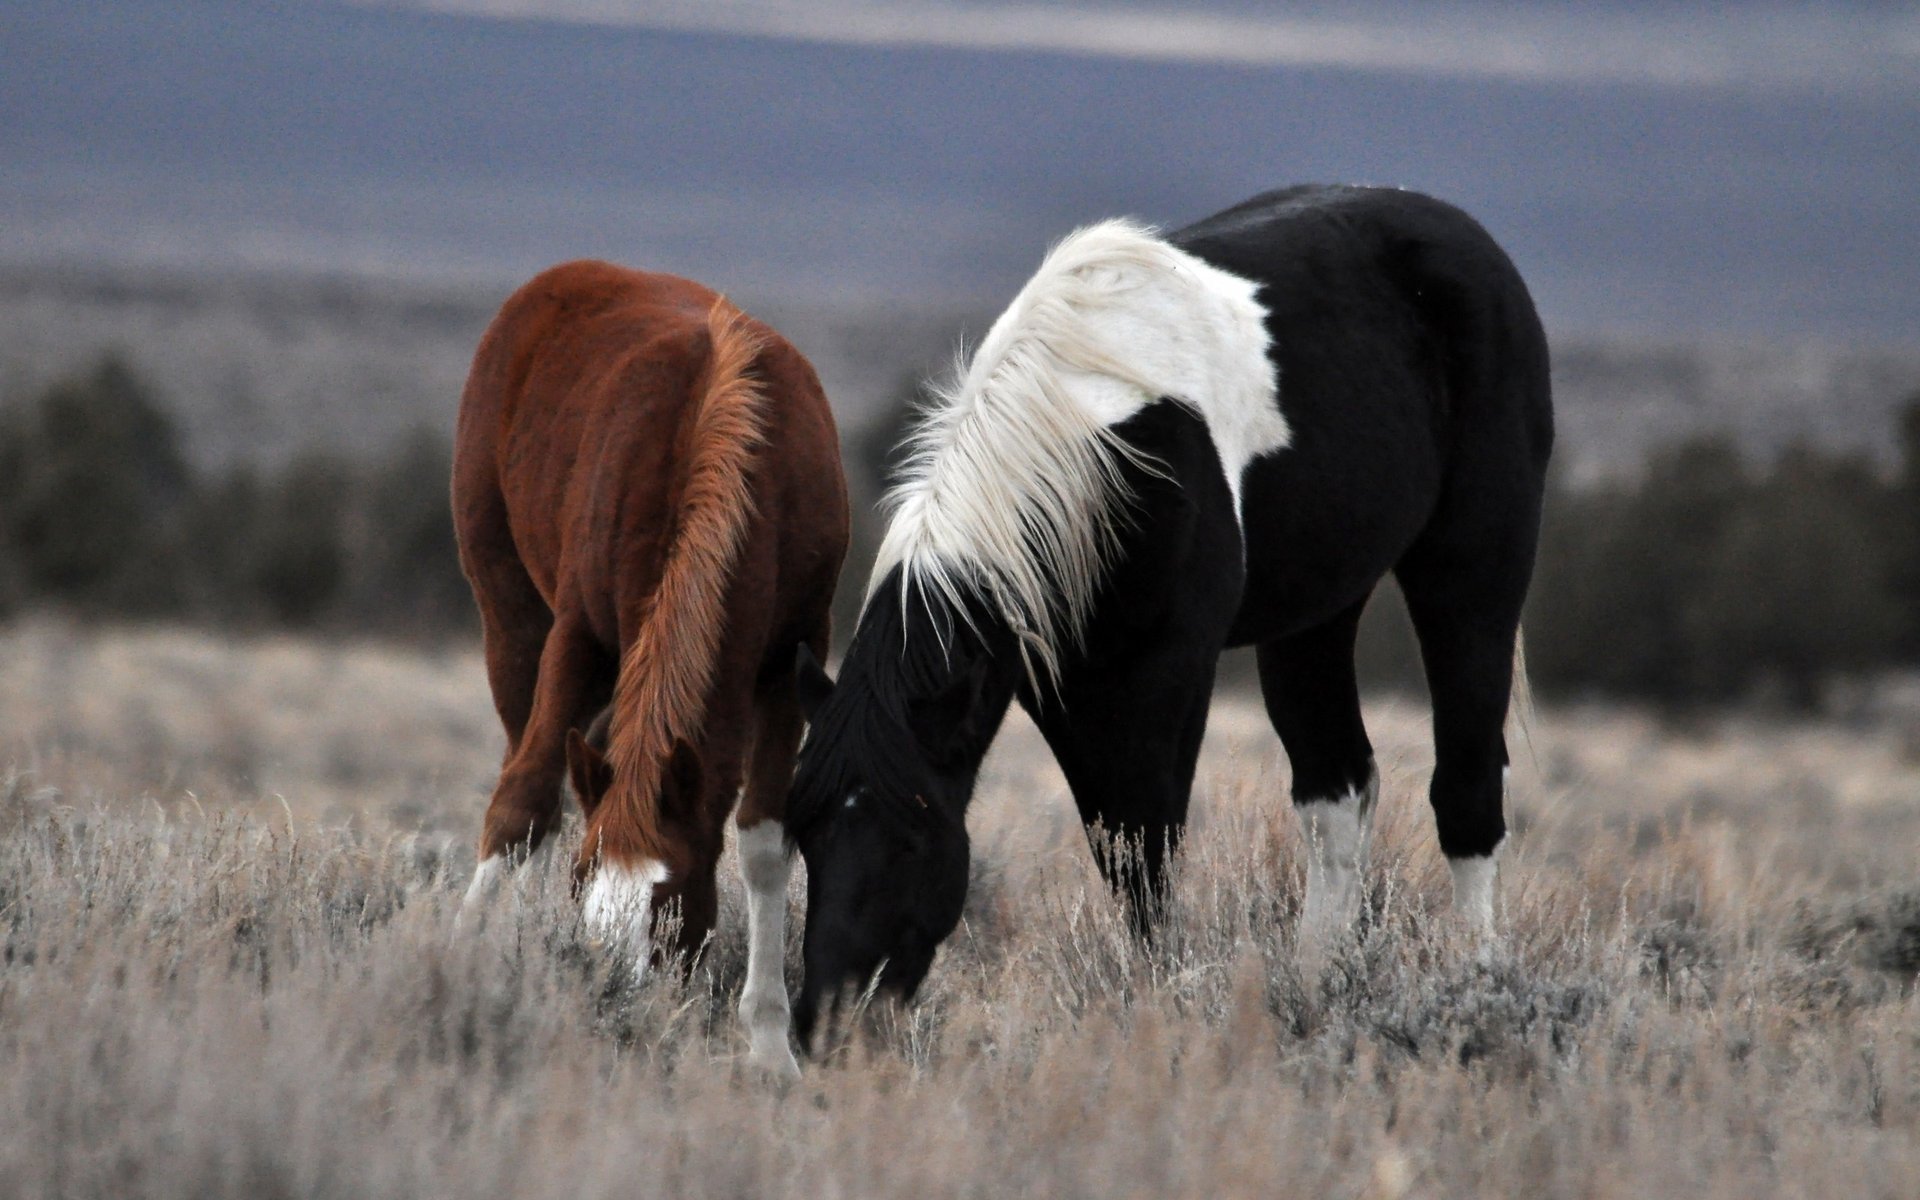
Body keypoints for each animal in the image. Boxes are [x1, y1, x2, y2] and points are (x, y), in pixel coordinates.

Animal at [452, 260, 848, 1077]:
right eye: (583, 885)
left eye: (671, 902)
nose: (612, 1001)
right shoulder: (578, 635)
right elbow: (521, 804)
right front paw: (463, 961)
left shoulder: (792, 655)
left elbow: (764, 840)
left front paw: (770, 1043)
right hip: (510, 622)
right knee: (528, 771)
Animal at [786, 185, 1553, 1047]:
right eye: (803, 830)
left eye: (914, 831)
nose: (824, 1024)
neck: (1098, 447)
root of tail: (1461, 234)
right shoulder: (1067, 687)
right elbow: (1118, 848)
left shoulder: (1168, 672)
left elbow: (1147, 846)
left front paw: (1157, 1002)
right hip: (1316, 615)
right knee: (1338, 792)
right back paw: (1317, 985)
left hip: (1472, 570)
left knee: (1467, 791)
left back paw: (1477, 989)